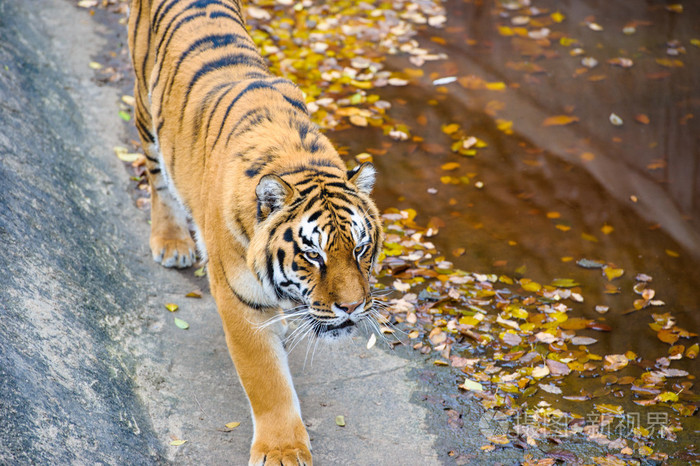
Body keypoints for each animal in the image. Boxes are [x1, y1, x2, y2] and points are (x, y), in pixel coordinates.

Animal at [129, 0, 386, 462]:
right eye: (313, 255)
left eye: (360, 249)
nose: (353, 308)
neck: (298, 160)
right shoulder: (239, 299)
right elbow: (267, 381)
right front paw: (283, 450)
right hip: (146, 112)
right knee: (157, 177)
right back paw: (172, 241)